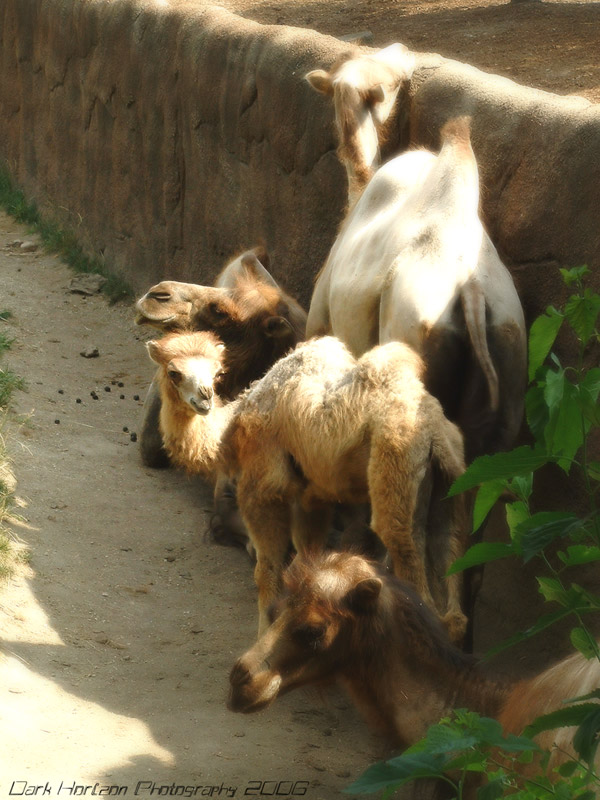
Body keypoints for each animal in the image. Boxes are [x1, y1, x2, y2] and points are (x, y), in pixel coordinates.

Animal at [145, 334, 468, 640]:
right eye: (174, 372)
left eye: (216, 371)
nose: (205, 397)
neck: (233, 428)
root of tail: (434, 433)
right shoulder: (311, 497)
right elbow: (305, 562)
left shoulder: (261, 488)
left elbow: (267, 570)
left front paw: (265, 635)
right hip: (448, 485)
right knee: (450, 589)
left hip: (395, 469)